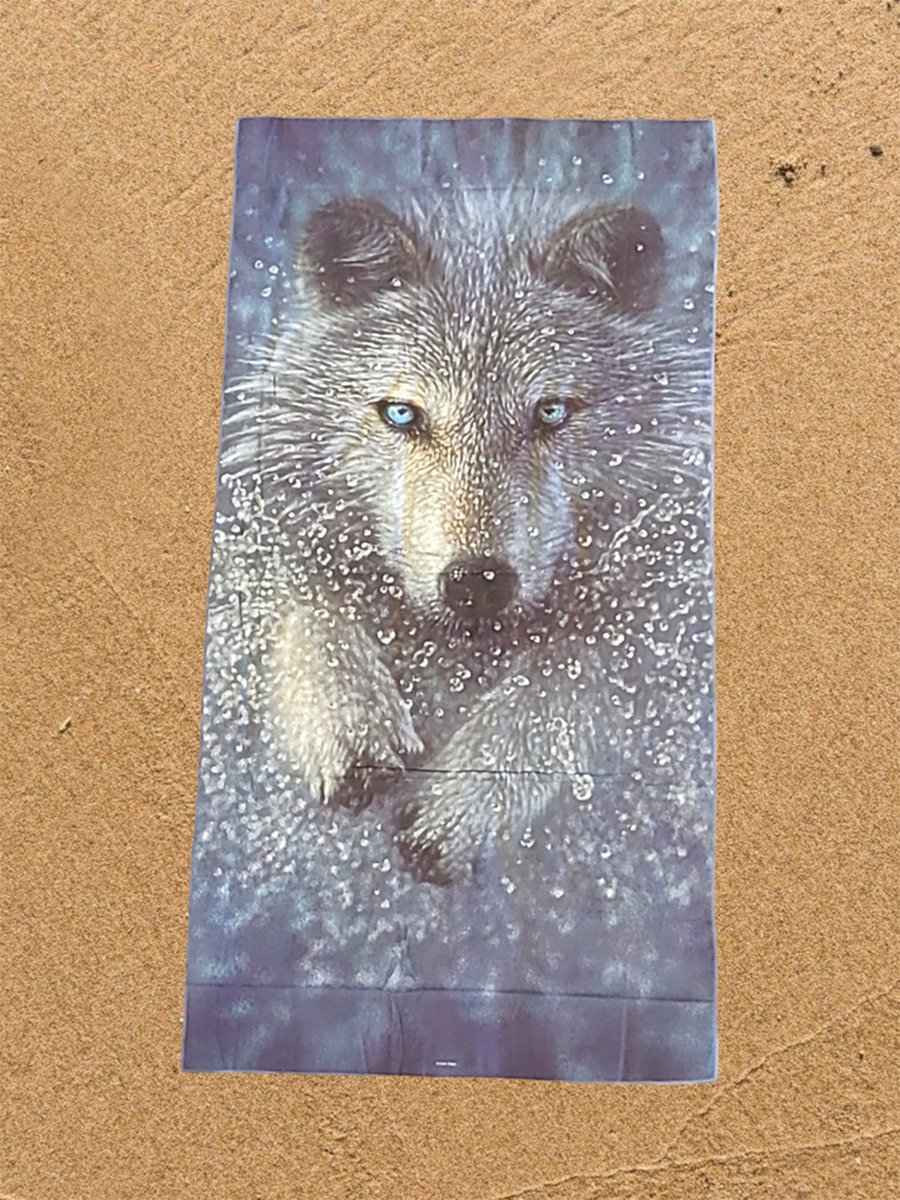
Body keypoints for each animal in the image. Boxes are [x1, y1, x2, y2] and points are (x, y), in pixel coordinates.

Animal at [223, 190, 713, 884]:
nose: (476, 581)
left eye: (550, 412)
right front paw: (353, 727)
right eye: (402, 414)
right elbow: (308, 606)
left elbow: (574, 673)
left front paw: (457, 809)